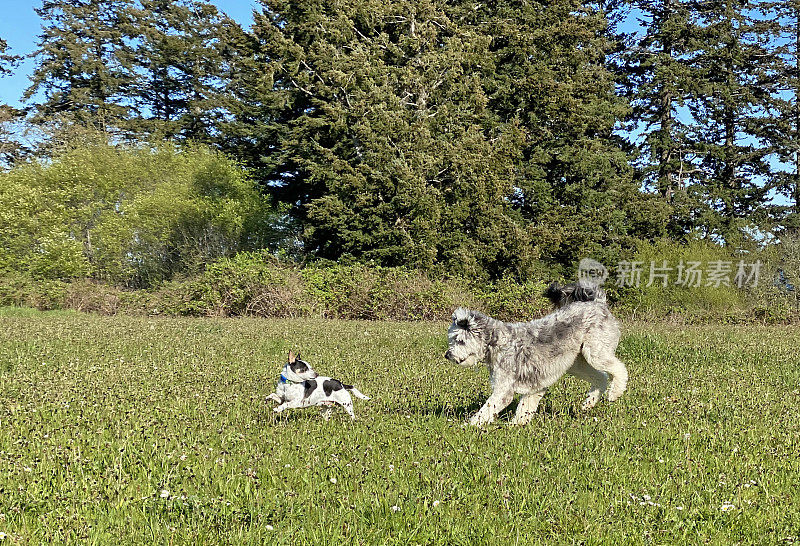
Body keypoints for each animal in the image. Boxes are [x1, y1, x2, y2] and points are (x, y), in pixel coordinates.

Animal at [444, 280, 624, 424]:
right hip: (578, 363)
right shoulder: (535, 385)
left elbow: (486, 410)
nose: (448, 355)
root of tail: (598, 303)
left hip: (596, 354)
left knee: (619, 369)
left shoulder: (504, 389)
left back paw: (615, 393)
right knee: (601, 377)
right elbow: (524, 409)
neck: (498, 342)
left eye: (459, 340)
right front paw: (516, 426)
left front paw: (468, 427)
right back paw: (589, 403)